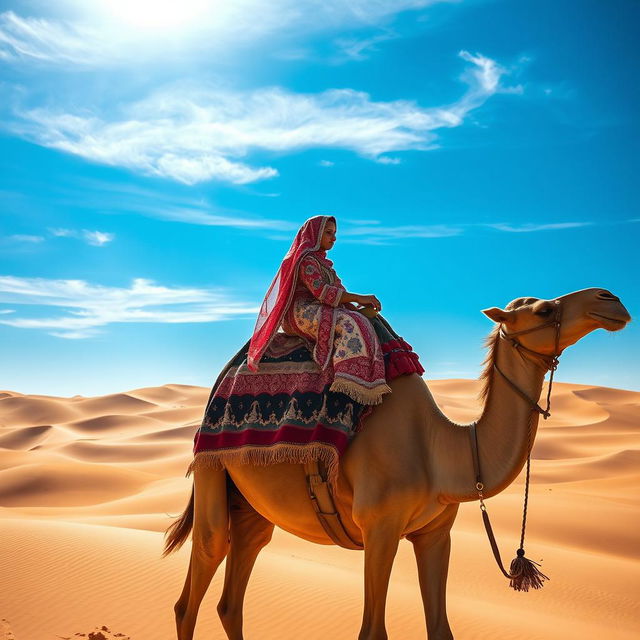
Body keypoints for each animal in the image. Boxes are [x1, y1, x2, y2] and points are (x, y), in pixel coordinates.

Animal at [164, 288, 632, 636]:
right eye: (544, 308)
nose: (611, 300)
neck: (442, 453)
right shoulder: (379, 527)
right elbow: (372, 631)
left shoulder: (435, 534)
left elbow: (441, 628)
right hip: (211, 470)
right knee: (197, 579)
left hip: (253, 507)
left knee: (235, 589)